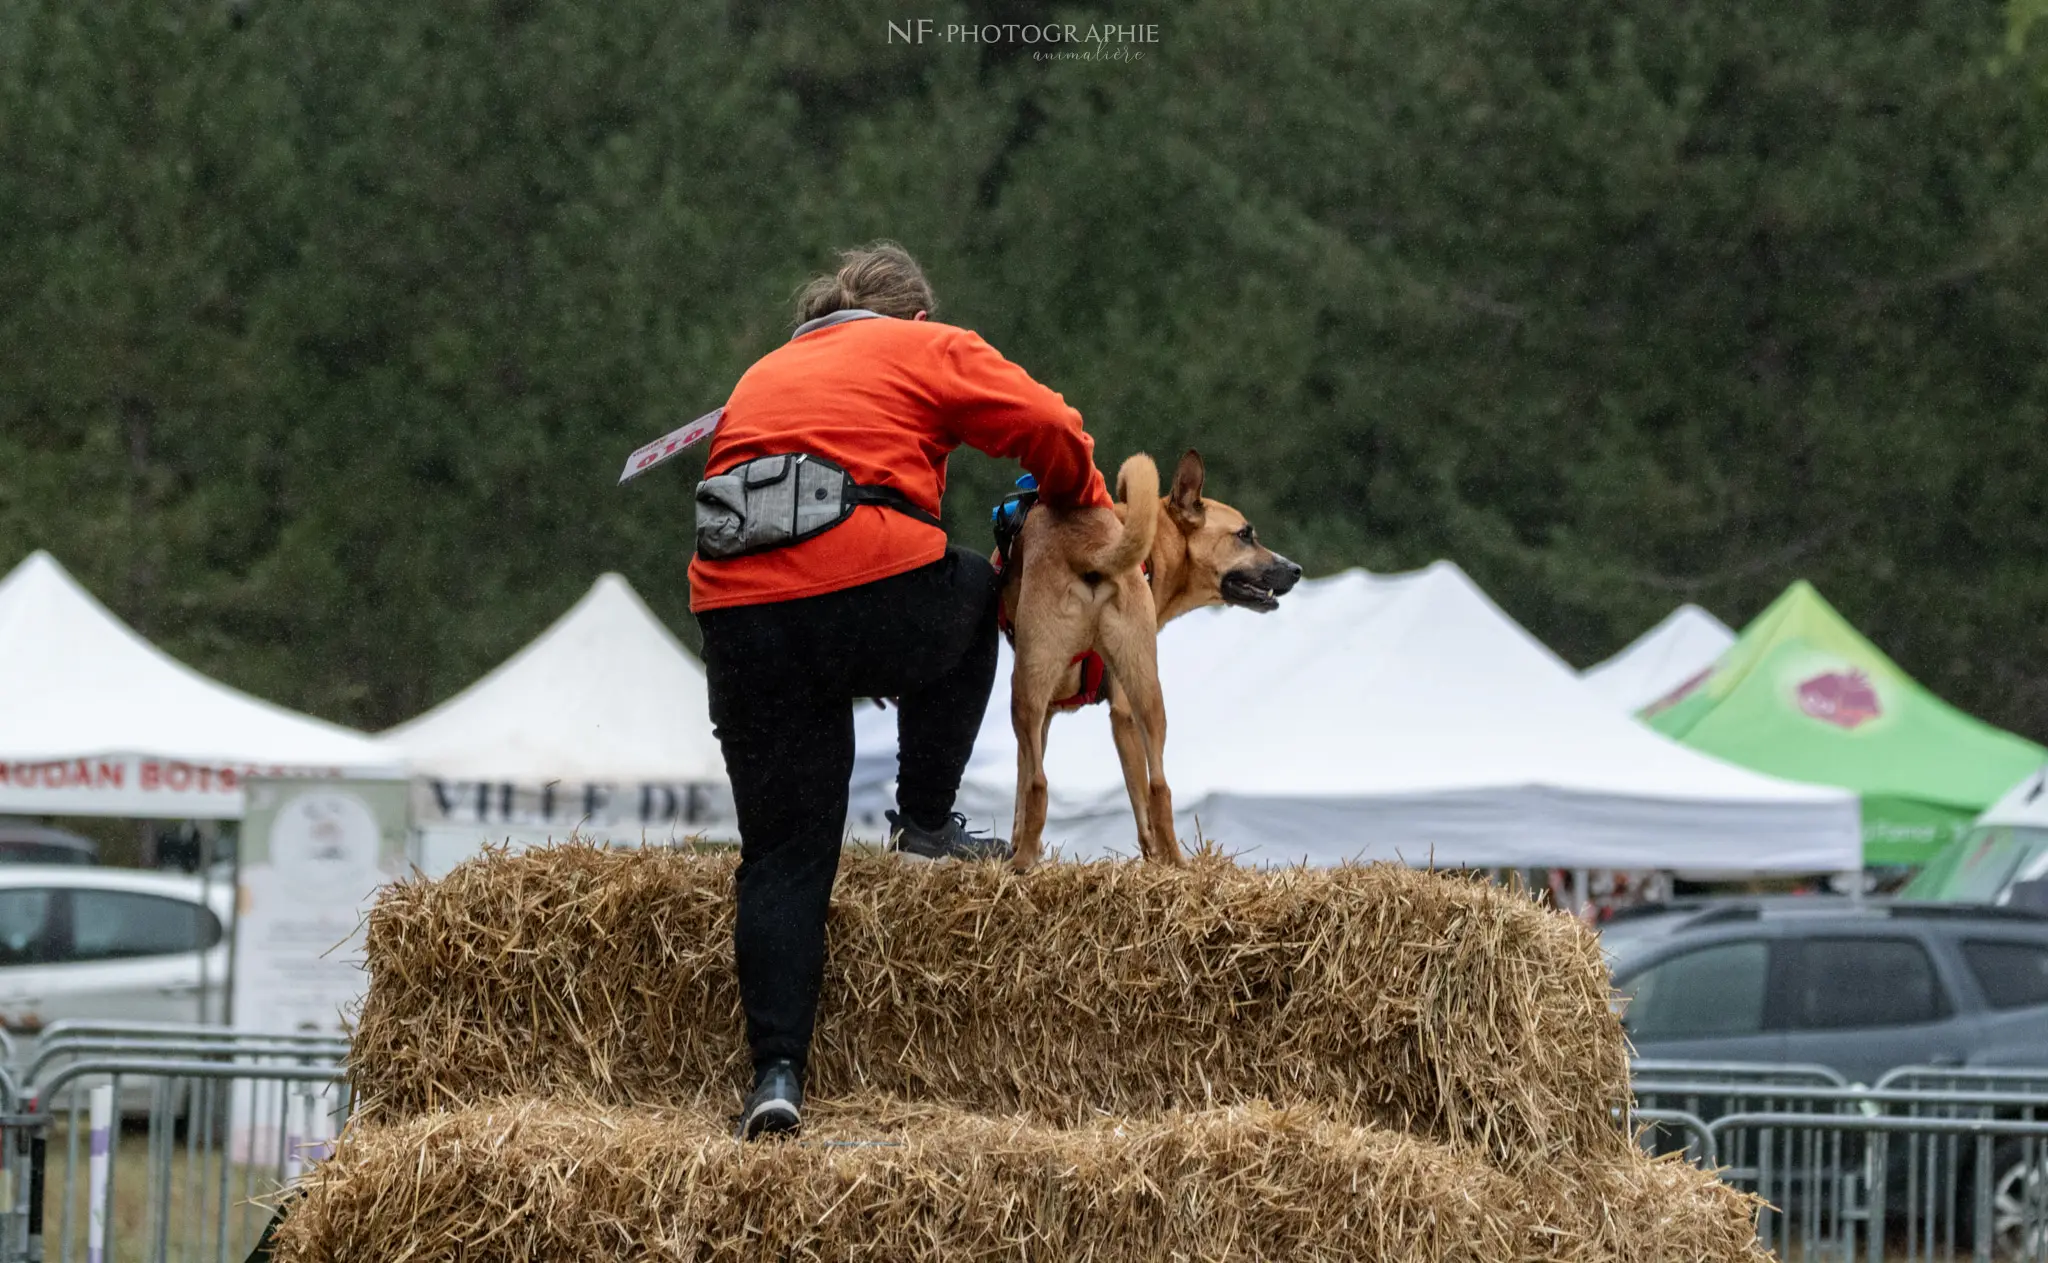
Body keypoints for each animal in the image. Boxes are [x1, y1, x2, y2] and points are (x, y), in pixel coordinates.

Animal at [999, 448, 1302, 872]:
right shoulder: (1085, 712)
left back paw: (1025, 861)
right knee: (1157, 785)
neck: (1157, 551)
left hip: (1040, 692)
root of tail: (1089, 546)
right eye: (1245, 535)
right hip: (1137, 691)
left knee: (1047, 784)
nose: (1296, 570)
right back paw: (1172, 861)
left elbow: (1025, 785)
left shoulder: (1087, 713)